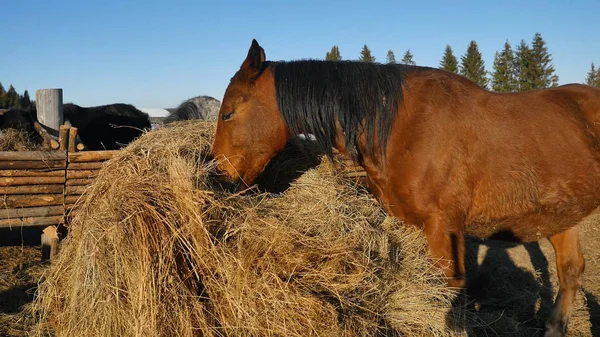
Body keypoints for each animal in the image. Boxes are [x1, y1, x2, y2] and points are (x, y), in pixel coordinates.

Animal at [211, 40, 600, 336]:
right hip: (560, 216)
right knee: (570, 272)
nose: (218, 176)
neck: (400, 127)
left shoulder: (445, 227)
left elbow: (448, 292)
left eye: (228, 113)